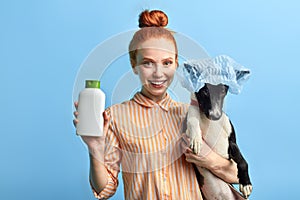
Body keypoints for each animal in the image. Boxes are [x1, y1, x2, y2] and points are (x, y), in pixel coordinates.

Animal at [180, 55, 253, 199]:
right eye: (204, 91)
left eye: (223, 90)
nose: (215, 115)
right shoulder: (188, 123)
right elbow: (193, 119)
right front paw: (196, 139)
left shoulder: (231, 142)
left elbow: (242, 161)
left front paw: (246, 184)